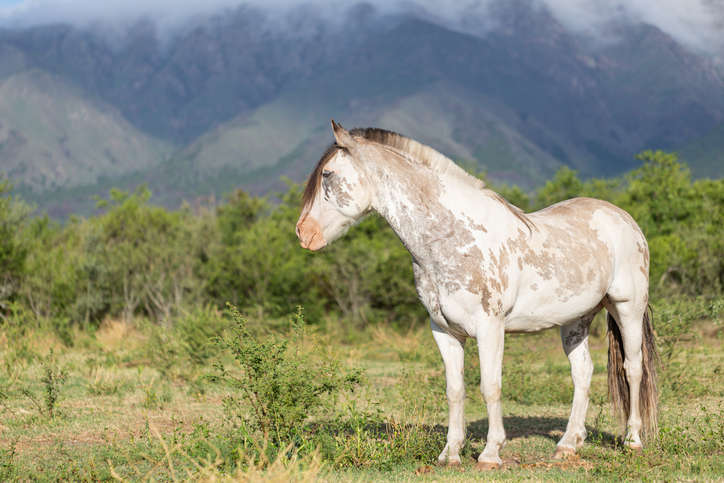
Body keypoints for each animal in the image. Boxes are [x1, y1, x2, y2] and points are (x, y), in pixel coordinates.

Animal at [296, 121, 658, 469]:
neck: (454, 239)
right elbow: (455, 390)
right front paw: (450, 454)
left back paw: (632, 441)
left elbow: (490, 386)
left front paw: (490, 454)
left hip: (627, 308)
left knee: (633, 368)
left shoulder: (490, 328)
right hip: (576, 320)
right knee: (582, 373)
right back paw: (568, 445)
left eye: (327, 175)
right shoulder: (443, 331)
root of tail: (623, 218)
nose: (303, 233)